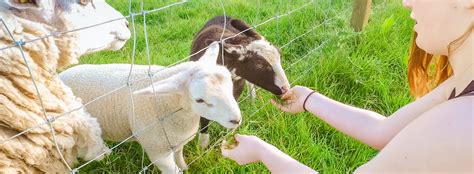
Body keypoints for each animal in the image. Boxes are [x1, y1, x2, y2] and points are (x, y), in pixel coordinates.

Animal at [59, 42, 243, 174]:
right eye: (200, 100)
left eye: (230, 84)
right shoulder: (158, 152)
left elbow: (180, 157)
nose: (237, 119)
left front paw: (186, 167)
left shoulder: (176, 141)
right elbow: (174, 170)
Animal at [191, 15, 290, 147]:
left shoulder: (238, 88)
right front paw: (203, 146)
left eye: (280, 55)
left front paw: (231, 137)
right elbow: (204, 118)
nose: (286, 89)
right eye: (259, 65)